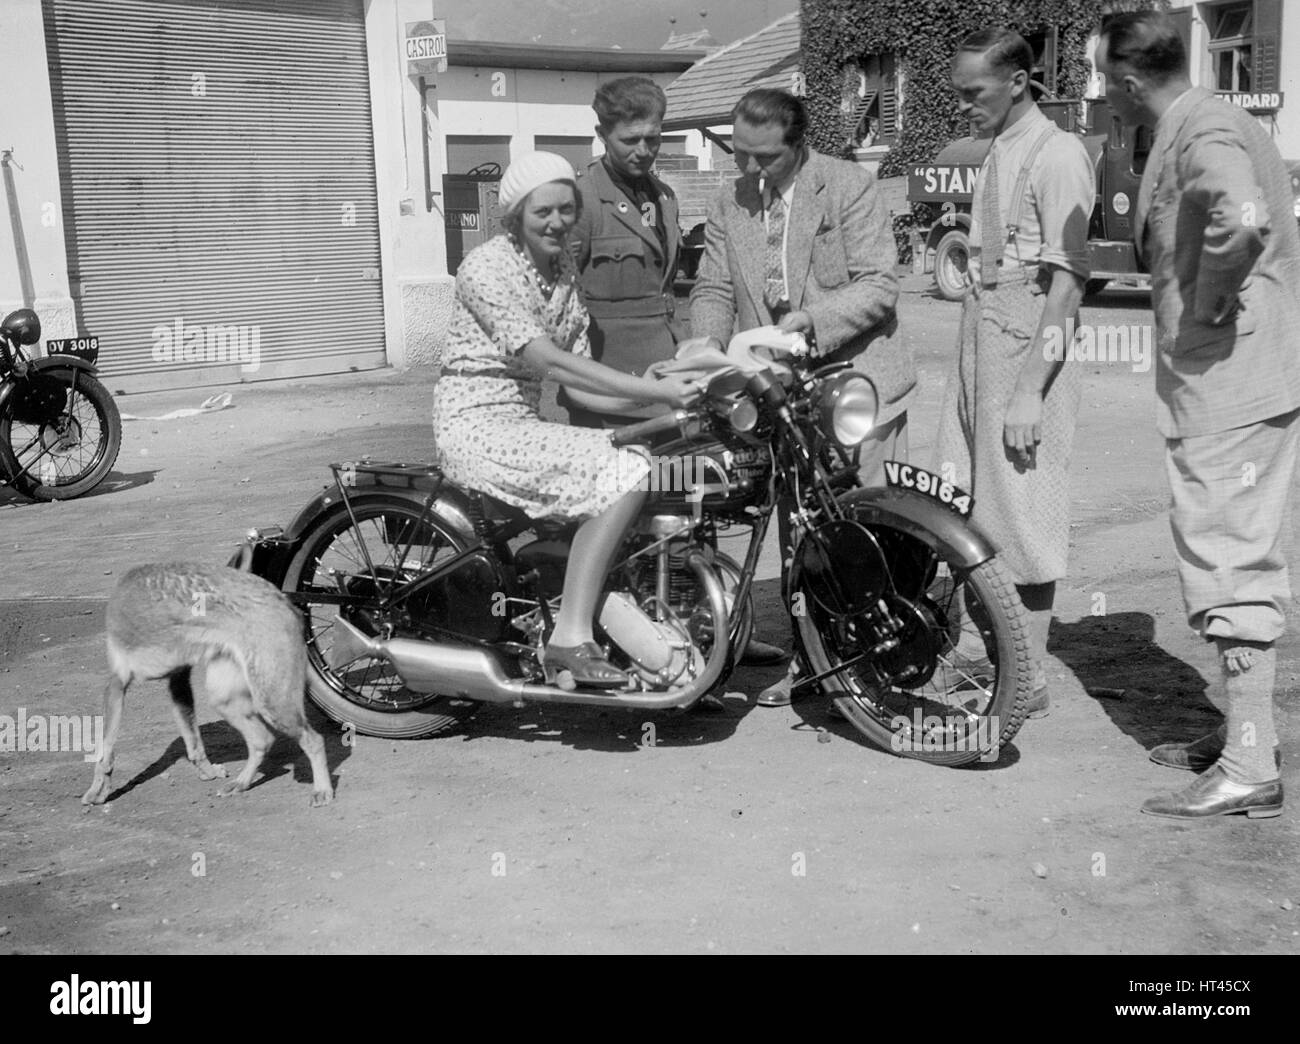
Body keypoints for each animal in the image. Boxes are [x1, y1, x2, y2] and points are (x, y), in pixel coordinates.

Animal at [81, 564, 332, 806]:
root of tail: (283, 598)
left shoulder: (117, 685)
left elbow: (105, 753)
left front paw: (97, 790)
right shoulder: (177, 683)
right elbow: (194, 742)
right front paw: (208, 772)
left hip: (272, 703)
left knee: (314, 741)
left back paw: (322, 790)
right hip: (224, 699)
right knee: (262, 741)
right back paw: (240, 784)